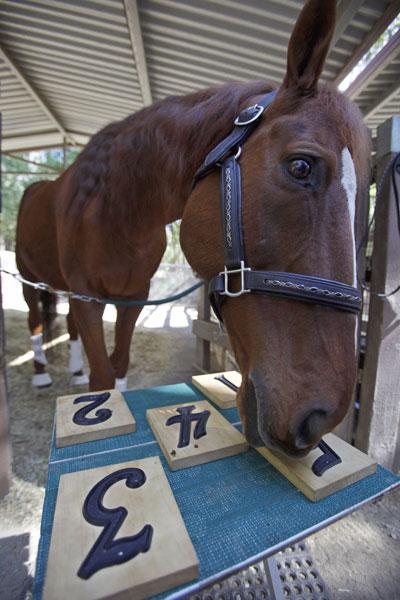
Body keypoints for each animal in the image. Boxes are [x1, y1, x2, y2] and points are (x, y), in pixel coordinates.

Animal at [17, 0, 370, 458]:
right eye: (301, 166)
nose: (320, 420)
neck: (116, 214)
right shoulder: (89, 297)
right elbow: (103, 378)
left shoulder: (131, 298)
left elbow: (118, 365)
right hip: (31, 278)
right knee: (34, 321)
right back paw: (42, 373)